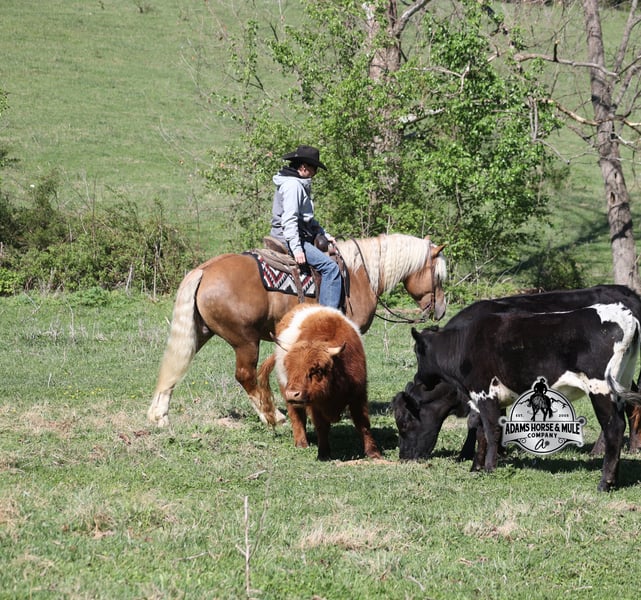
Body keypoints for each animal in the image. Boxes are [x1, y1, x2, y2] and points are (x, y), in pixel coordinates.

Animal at [147, 233, 447, 428]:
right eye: (439, 276)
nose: (442, 309)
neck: (360, 275)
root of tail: (204, 270)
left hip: (201, 332)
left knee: (177, 364)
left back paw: (159, 415)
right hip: (246, 341)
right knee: (245, 376)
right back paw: (273, 417)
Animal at [257, 304, 381, 461]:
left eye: (316, 370)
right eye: (288, 367)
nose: (292, 394)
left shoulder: (358, 395)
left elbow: (363, 423)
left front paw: (373, 452)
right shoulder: (315, 404)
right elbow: (321, 426)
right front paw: (323, 453)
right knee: (296, 416)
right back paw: (301, 443)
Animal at [411, 302, 641, 491]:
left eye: (417, 352)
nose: (418, 380)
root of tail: (624, 313)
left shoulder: (485, 393)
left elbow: (491, 432)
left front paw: (489, 468)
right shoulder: (482, 398)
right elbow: (480, 432)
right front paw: (476, 467)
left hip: (600, 387)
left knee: (613, 428)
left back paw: (605, 483)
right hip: (622, 383)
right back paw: (615, 480)